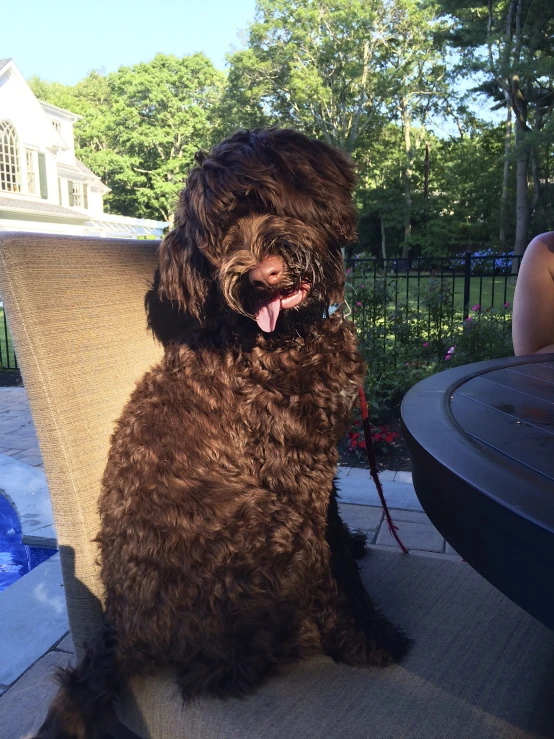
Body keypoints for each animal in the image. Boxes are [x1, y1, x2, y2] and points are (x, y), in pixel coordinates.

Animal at [32, 129, 408, 739]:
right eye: (216, 238)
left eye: (263, 199)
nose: (262, 276)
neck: (285, 340)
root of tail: (123, 636)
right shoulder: (290, 475)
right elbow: (330, 574)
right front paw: (364, 636)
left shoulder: (318, 456)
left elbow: (334, 529)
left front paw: (350, 544)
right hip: (267, 526)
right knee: (222, 669)